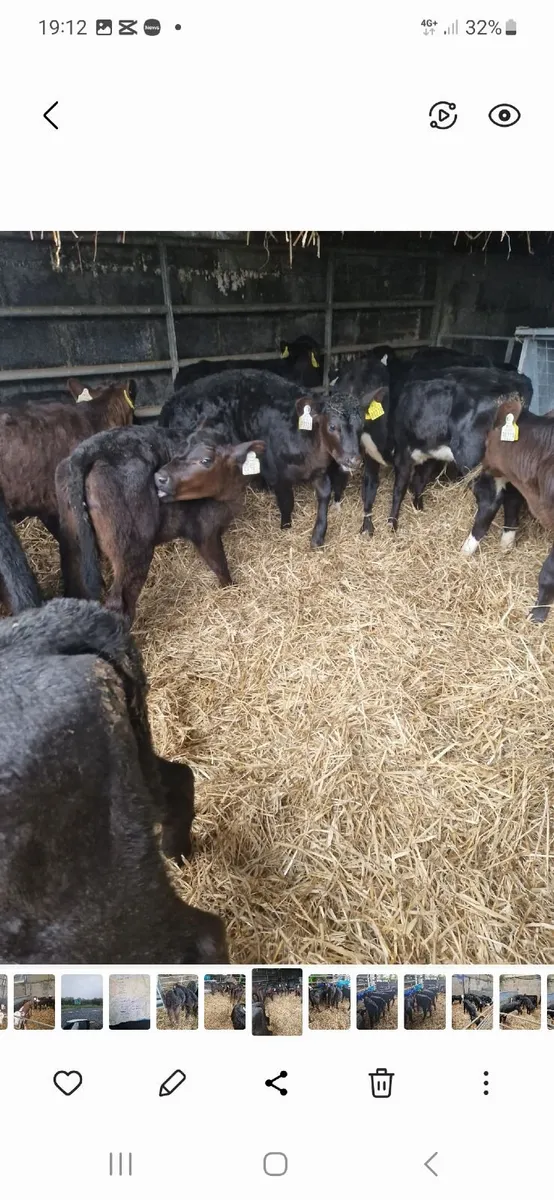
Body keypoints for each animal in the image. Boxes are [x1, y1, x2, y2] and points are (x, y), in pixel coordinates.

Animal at [56, 428, 265, 624]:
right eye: (179, 450)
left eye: (206, 460)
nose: (159, 477)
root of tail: (86, 451)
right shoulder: (204, 529)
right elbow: (220, 565)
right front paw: (232, 589)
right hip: (133, 548)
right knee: (119, 602)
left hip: (74, 544)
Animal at [160, 369, 362, 547]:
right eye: (333, 426)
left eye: (361, 427)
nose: (354, 460)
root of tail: (171, 402)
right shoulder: (277, 474)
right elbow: (287, 502)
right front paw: (285, 527)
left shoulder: (318, 471)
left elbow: (324, 495)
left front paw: (318, 536)